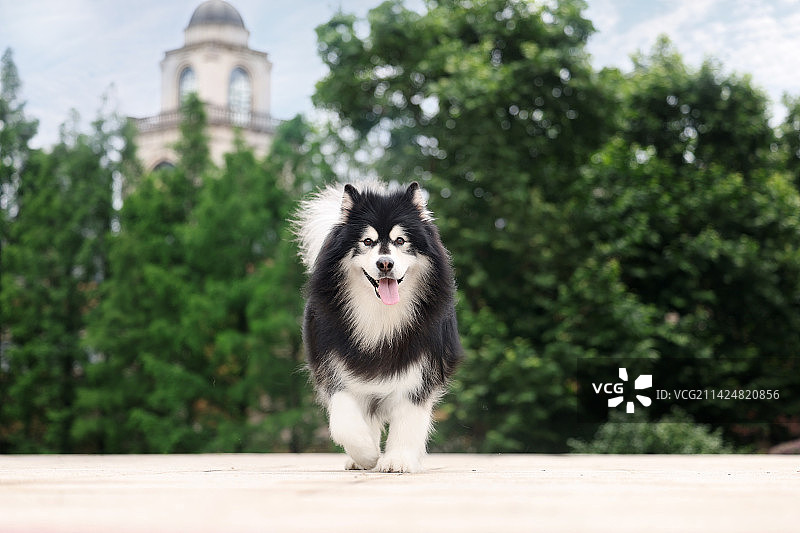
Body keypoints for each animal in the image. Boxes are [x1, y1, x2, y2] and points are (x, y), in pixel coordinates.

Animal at [294, 181, 462, 472]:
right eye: (368, 241)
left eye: (400, 241)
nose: (385, 263)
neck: (381, 313)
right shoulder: (334, 365)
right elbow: (343, 415)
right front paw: (366, 453)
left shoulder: (421, 365)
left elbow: (409, 414)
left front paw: (398, 459)